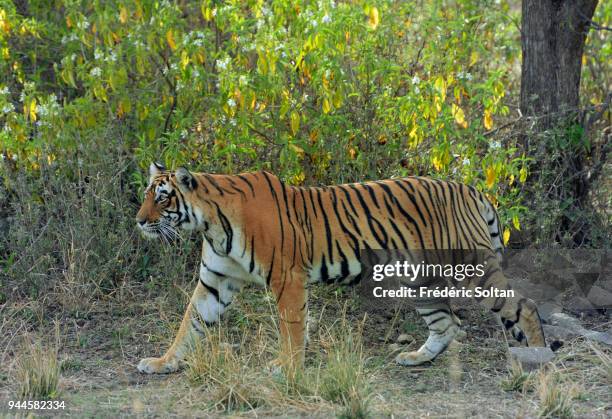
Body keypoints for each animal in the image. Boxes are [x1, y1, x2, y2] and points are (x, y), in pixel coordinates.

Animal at [135, 162, 548, 376]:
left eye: (162, 198)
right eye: (146, 196)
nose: (139, 221)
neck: (211, 223)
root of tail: (471, 189)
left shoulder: (288, 280)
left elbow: (291, 329)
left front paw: (287, 367)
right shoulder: (215, 281)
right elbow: (190, 324)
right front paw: (162, 362)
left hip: (473, 269)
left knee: (524, 306)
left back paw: (539, 360)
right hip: (422, 281)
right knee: (447, 324)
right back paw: (416, 358)